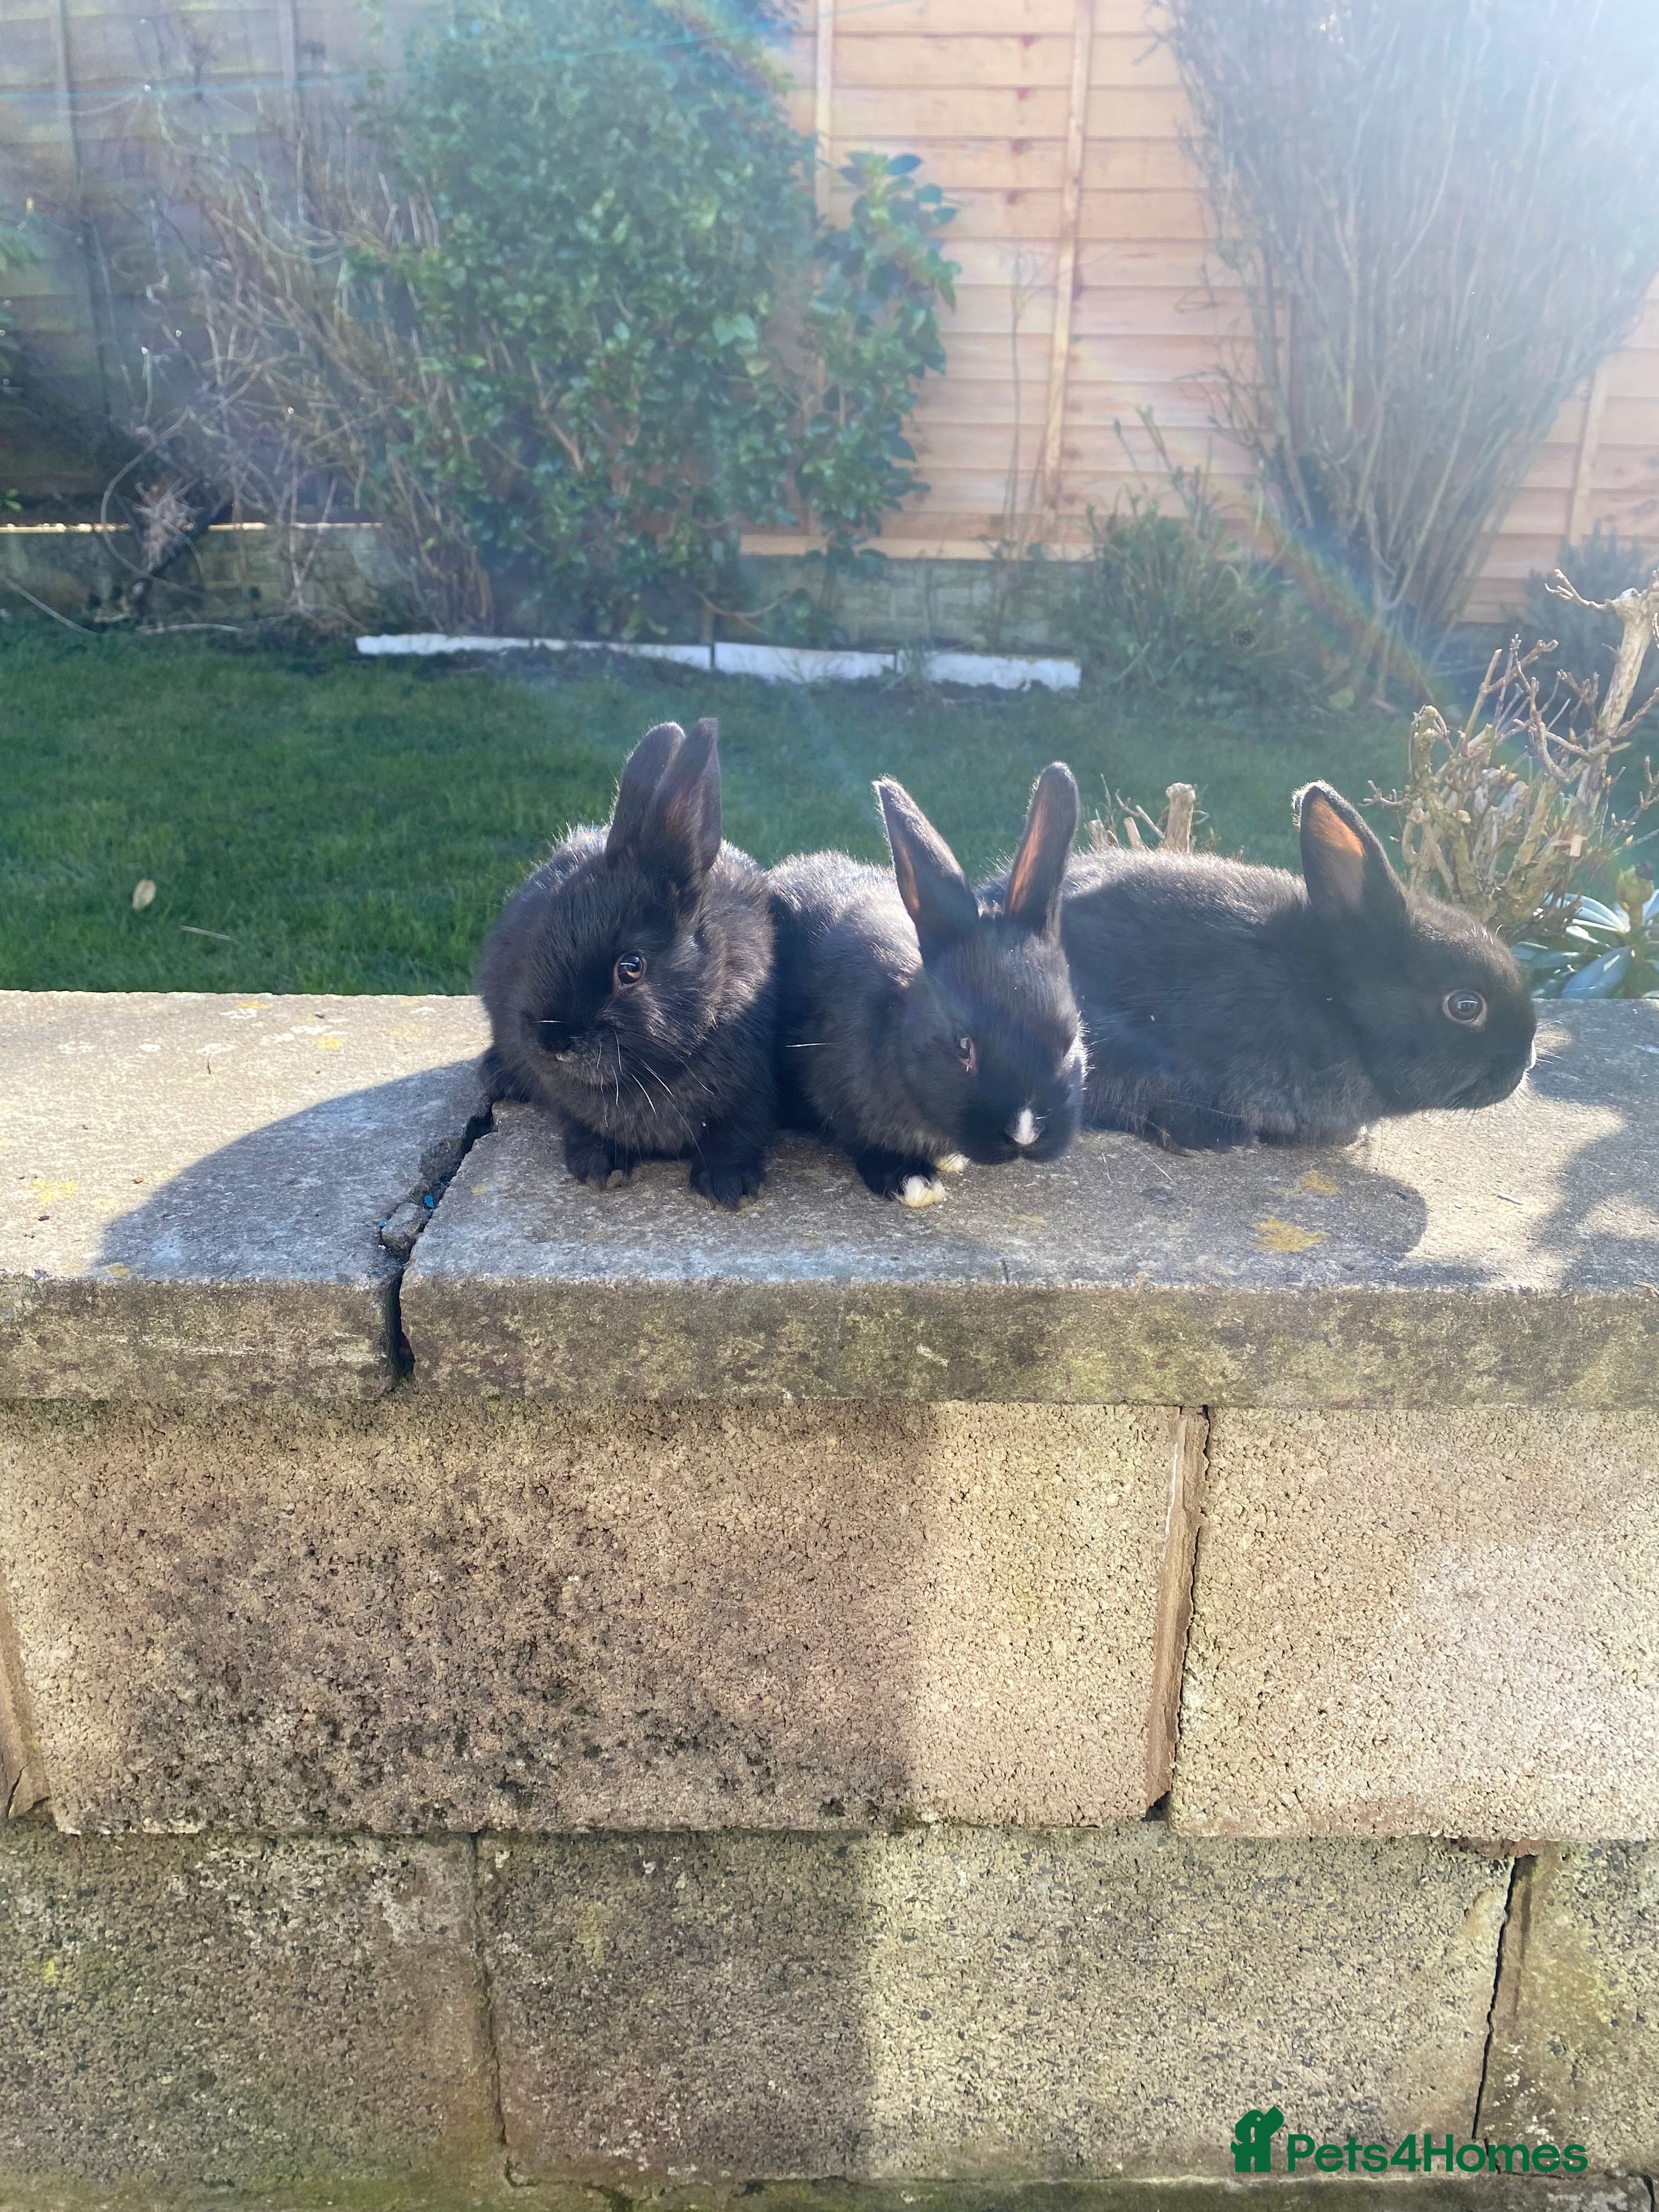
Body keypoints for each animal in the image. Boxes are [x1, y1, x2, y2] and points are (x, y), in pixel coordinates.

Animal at [477, 717, 777, 1208]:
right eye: (540, 937)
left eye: (631, 967)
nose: (552, 1041)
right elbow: (578, 1123)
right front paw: (601, 1168)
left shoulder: (752, 1094)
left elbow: (739, 1133)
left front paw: (728, 1186)